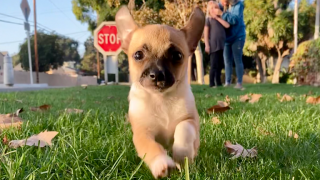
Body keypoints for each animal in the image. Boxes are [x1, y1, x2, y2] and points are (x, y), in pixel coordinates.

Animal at [115, 5, 205, 179]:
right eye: (138, 55)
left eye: (177, 56)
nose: (156, 74)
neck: (161, 99)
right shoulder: (142, 133)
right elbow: (151, 147)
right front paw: (162, 163)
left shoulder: (190, 120)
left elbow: (184, 129)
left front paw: (183, 154)